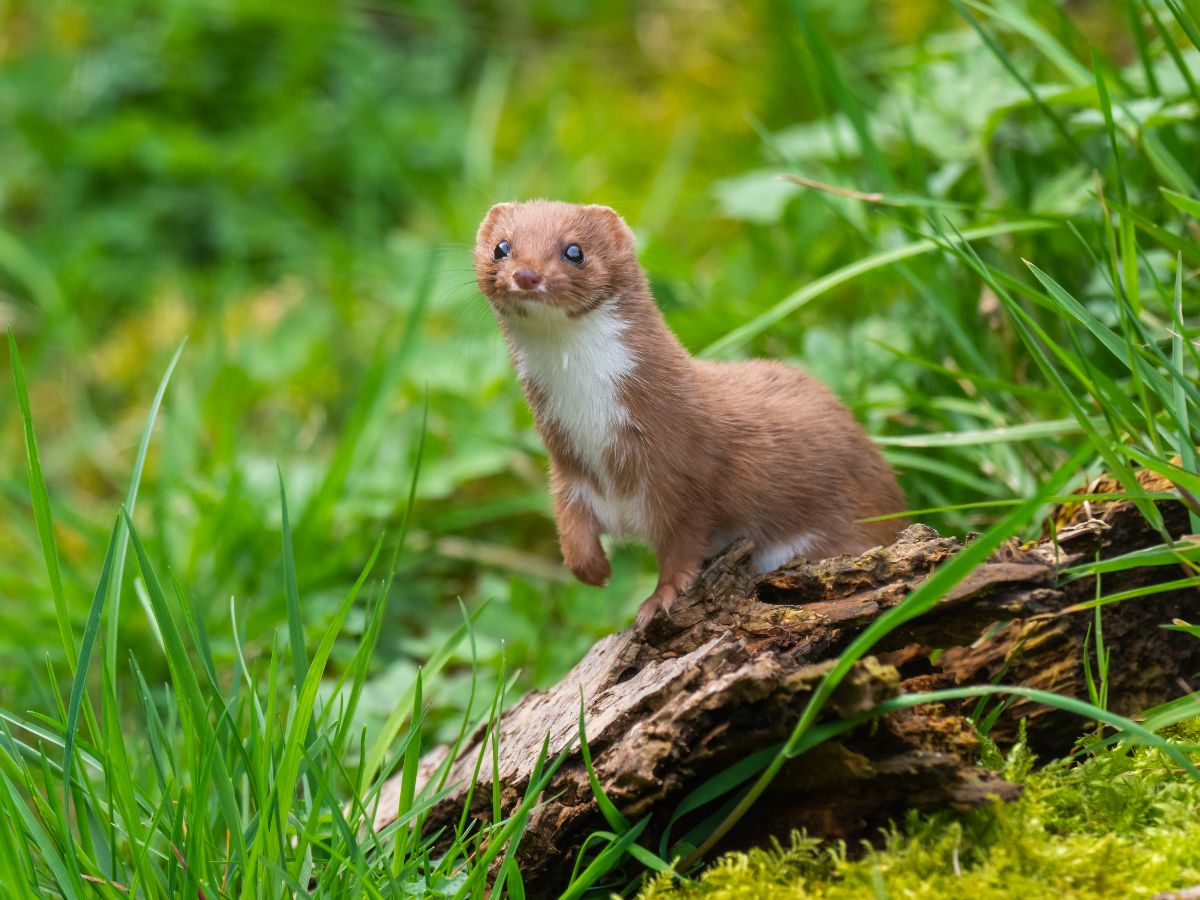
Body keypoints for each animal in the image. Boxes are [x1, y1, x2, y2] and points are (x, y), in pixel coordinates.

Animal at [472, 200, 902, 628]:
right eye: (501, 248)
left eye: (574, 250)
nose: (526, 274)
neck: (595, 429)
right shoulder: (568, 472)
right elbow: (571, 528)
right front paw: (594, 570)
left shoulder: (683, 471)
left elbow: (683, 545)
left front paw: (658, 598)